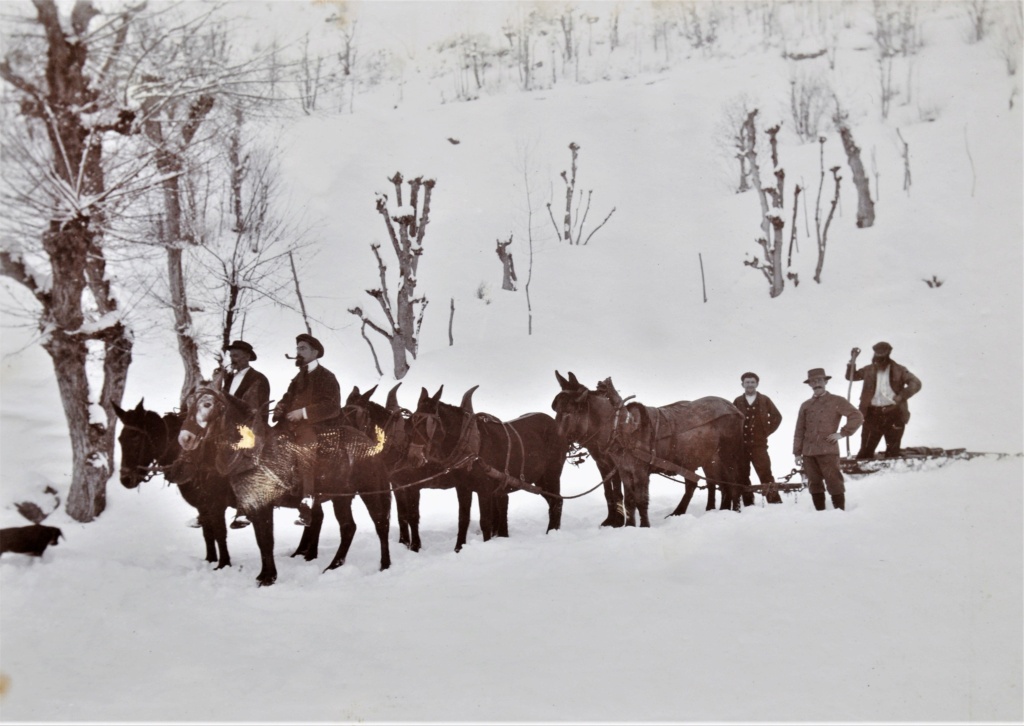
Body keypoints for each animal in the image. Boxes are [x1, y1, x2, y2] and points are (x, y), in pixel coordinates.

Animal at [178, 387, 389, 585]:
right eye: (187, 405)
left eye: (207, 405)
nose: (185, 438)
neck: (254, 454)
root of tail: (369, 443)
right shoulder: (252, 506)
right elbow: (260, 541)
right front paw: (264, 575)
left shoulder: (261, 505)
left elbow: (266, 541)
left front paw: (268, 578)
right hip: (341, 497)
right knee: (348, 528)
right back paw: (333, 566)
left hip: (368, 491)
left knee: (380, 524)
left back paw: (384, 564)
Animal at [405, 385, 569, 548]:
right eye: (413, 420)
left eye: (428, 423)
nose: (413, 457)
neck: (469, 446)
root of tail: (555, 424)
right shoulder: (462, 488)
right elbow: (463, 519)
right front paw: (458, 548)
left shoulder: (485, 489)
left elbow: (485, 522)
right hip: (539, 479)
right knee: (554, 500)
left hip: (551, 474)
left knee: (557, 502)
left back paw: (551, 532)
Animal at [552, 370, 745, 524]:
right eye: (555, 409)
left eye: (568, 412)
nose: (556, 442)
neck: (620, 427)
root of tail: (735, 408)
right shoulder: (621, 468)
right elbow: (627, 499)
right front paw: (628, 526)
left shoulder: (639, 470)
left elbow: (640, 500)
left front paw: (642, 526)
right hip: (703, 458)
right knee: (711, 483)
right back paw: (688, 512)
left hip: (727, 455)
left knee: (732, 483)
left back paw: (733, 511)